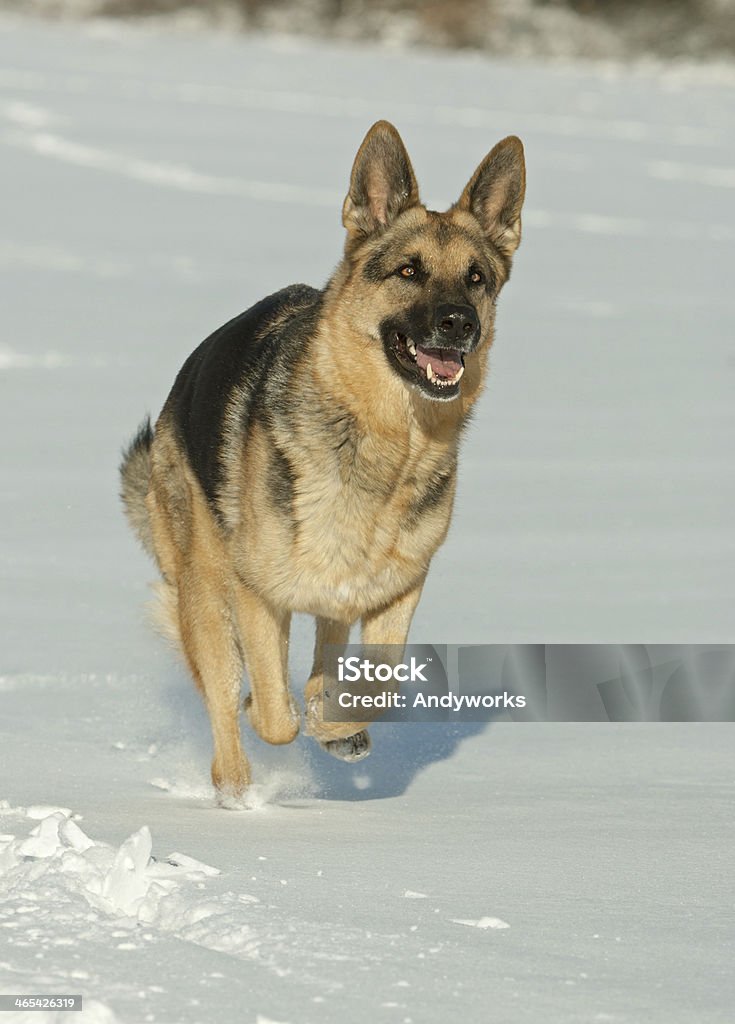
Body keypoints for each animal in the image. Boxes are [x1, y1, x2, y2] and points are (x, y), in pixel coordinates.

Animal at [119, 123, 524, 802]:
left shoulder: (396, 589)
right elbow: (275, 717)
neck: (387, 443)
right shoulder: (257, 593)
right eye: (410, 270)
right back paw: (236, 789)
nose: (459, 325)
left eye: (476, 278)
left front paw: (337, 726)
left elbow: (377, 690)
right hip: (205, 592)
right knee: (226, 704)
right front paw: (291, 717)